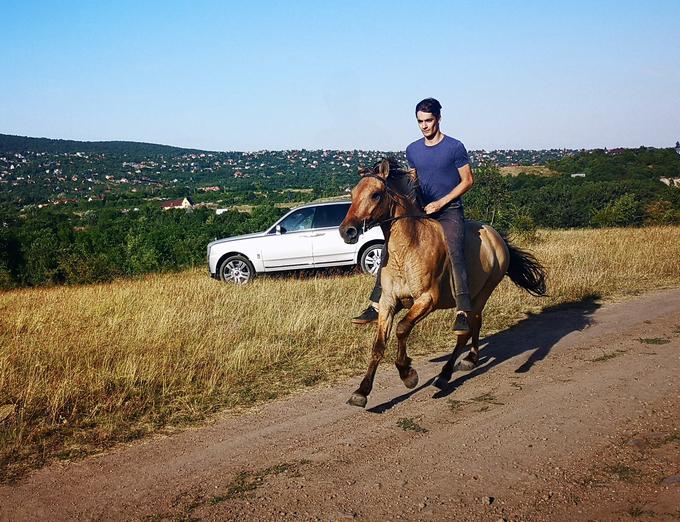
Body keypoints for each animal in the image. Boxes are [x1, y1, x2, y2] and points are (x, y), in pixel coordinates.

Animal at [340, 158, 548, 406]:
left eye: (375, 195)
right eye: (353, 194)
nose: (347, 231)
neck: (407, 248)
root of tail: (497, 237)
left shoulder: (427, 300)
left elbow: (402, 329)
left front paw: (408, 373)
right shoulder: (388, 301)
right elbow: (378, 345)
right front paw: (361, 392)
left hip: (481, 294)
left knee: (465, 330)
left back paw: (445, 375)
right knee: (474, 326)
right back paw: (470, 359)